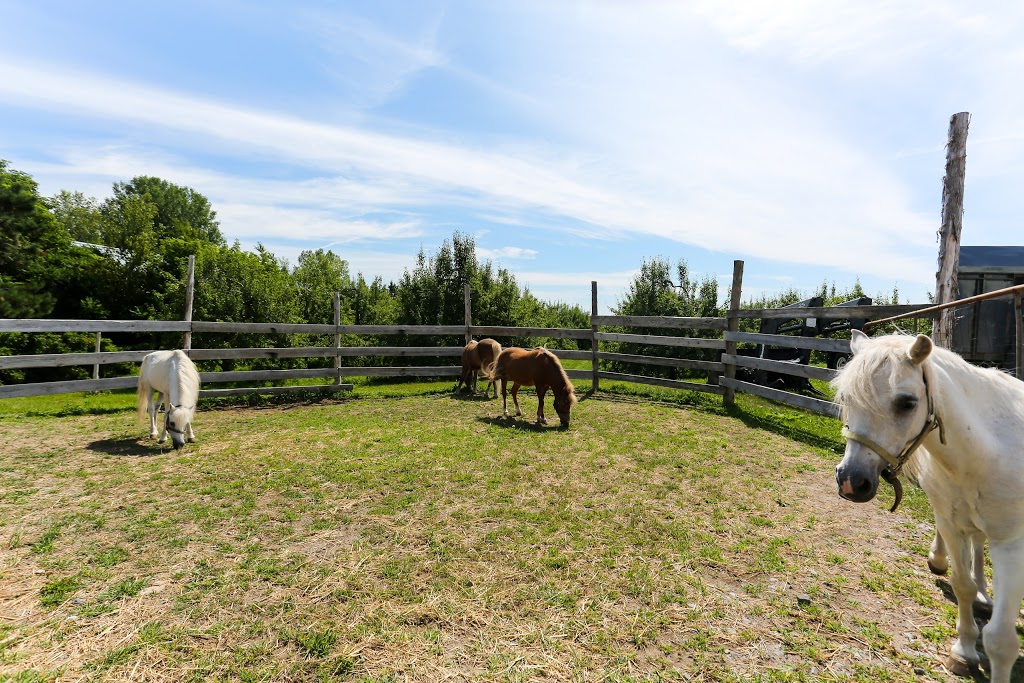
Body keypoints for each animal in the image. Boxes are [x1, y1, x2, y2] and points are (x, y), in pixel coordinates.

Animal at [831, 331, 1024, 679]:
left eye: (907, 403)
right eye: (848, 398)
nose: (851, 481)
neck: (988, 451)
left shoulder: (1013, 545)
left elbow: (1001, 640)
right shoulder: (950, 523)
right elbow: (961, 586)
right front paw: (964, 652)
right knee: (976, 542)